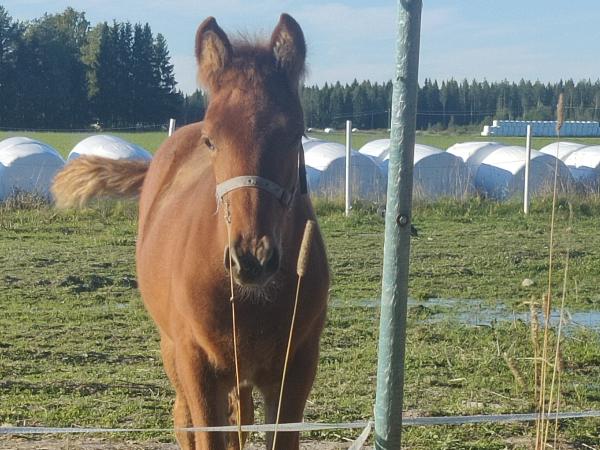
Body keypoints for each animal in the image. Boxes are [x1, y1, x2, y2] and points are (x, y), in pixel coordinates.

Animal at [52, 14, 330, 450]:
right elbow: (206, 433)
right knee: (184, 419)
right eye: (211, 140)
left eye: (295, 134)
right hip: (174, 352)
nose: (251, 257)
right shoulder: (196, 363)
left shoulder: (296, 367)